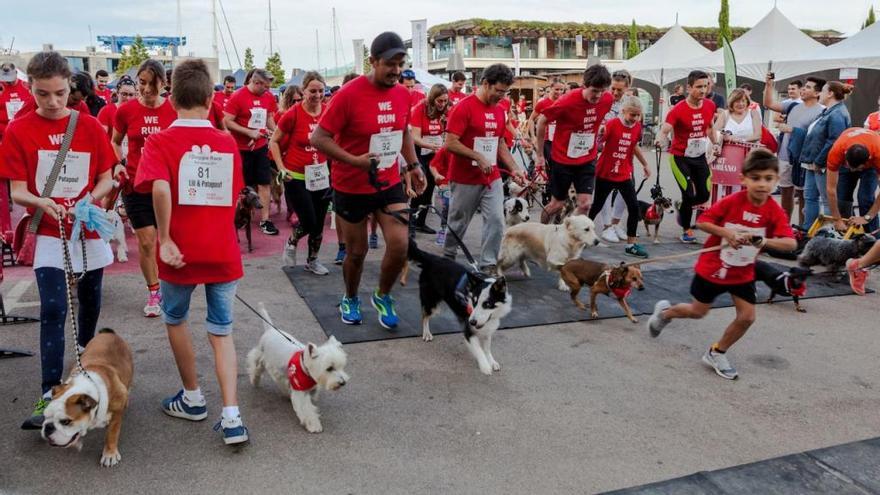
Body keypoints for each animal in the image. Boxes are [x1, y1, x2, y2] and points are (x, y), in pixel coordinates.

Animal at [246, 304, 348, 432]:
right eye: (329, 368)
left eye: (342, 366)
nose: (343, 383)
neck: (305, 367)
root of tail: (270, 329)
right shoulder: (300, 391)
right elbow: (307, 409)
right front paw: (314, 425)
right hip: (262, 356)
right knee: (254, 364)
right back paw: (254, 380)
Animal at [410, 240, 512, 376]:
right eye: (474, 302)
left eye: (487, 304)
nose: (472, 322)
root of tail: (433, 259)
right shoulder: (468, 330)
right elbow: (478, 349)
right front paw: (485, 365)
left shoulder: (487, 327)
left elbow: (487, 347)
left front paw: (491, 361)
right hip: (432, 302)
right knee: (424, 315)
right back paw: (426, 333)